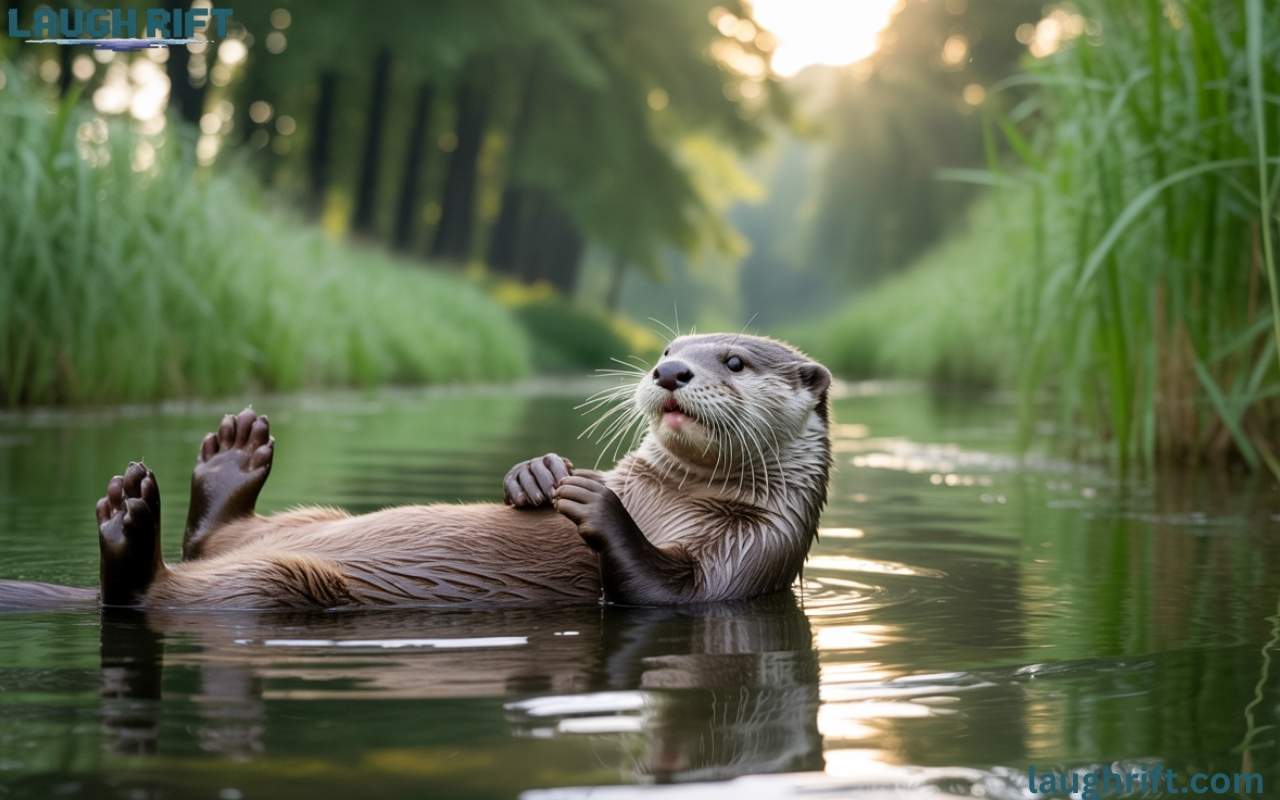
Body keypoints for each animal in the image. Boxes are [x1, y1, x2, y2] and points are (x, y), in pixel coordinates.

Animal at [7, 333, 832, 609]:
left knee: (154, 593)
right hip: (307, 521)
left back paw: (129, 531)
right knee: (212, 540)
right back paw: (227, 460)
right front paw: (540, 475)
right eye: (667, 345)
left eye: (732, 360)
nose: (668, 371)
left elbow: (664, 593)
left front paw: (596, 503)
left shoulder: (752, 556)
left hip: (281, 584)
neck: (666, 497)